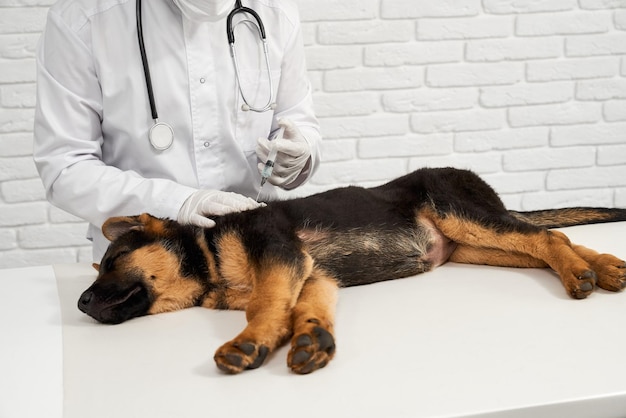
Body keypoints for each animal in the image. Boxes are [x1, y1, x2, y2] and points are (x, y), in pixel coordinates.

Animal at [77, 168, 624, 374]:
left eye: (112, 262)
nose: (80, 304)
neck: (207, 254)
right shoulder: (312, 274)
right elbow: (305, 308)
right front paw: (310, 338)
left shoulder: (278, 253)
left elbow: (264, 303)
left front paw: (249, 342)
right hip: (473, 245)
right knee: (548, 242)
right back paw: (603, 268)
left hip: (461, 214)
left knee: (545, 238)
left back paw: (580, 275)